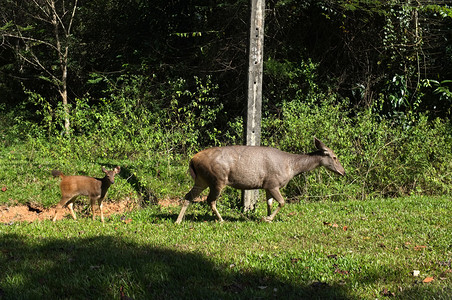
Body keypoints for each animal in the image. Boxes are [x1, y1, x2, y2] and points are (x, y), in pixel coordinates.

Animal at [175, 138, 344, 223]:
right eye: (335, 157)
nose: (343, 172)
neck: (291, 167)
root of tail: (192, 160)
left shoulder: (266, 185)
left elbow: (269, 203)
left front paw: (266, 218)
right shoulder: (273, 183)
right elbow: (282, 202)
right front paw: (268, 218)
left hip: (202, 180)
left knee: (188, 196)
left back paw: (178, 220)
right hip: (217, 179)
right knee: (210, 200)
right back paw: (221, 220)